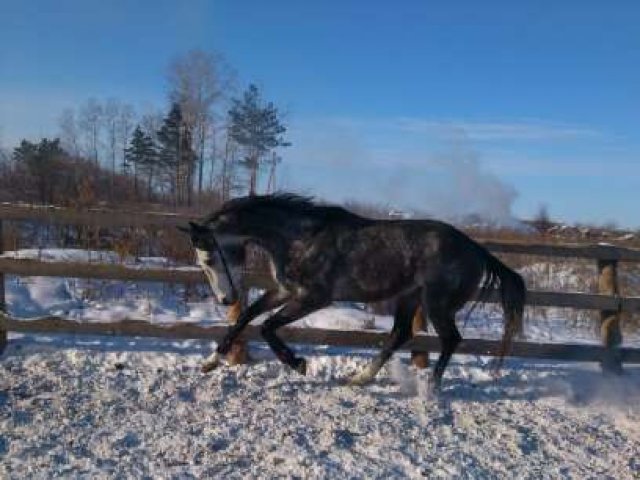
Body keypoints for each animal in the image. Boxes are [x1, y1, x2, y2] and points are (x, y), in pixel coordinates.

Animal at [181, 193, 524, 388]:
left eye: (209, 258)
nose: (225, 299)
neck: (298, 238)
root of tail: (475, 248)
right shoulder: (285, 291)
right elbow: (247, 318)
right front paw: (210, 362)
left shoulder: (313, 298)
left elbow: (266, 326)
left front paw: (298, 363)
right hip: (409, 297)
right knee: (400, 335)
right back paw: (360, 379)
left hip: (436, 304)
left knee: (450, 339)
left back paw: (432, 388)